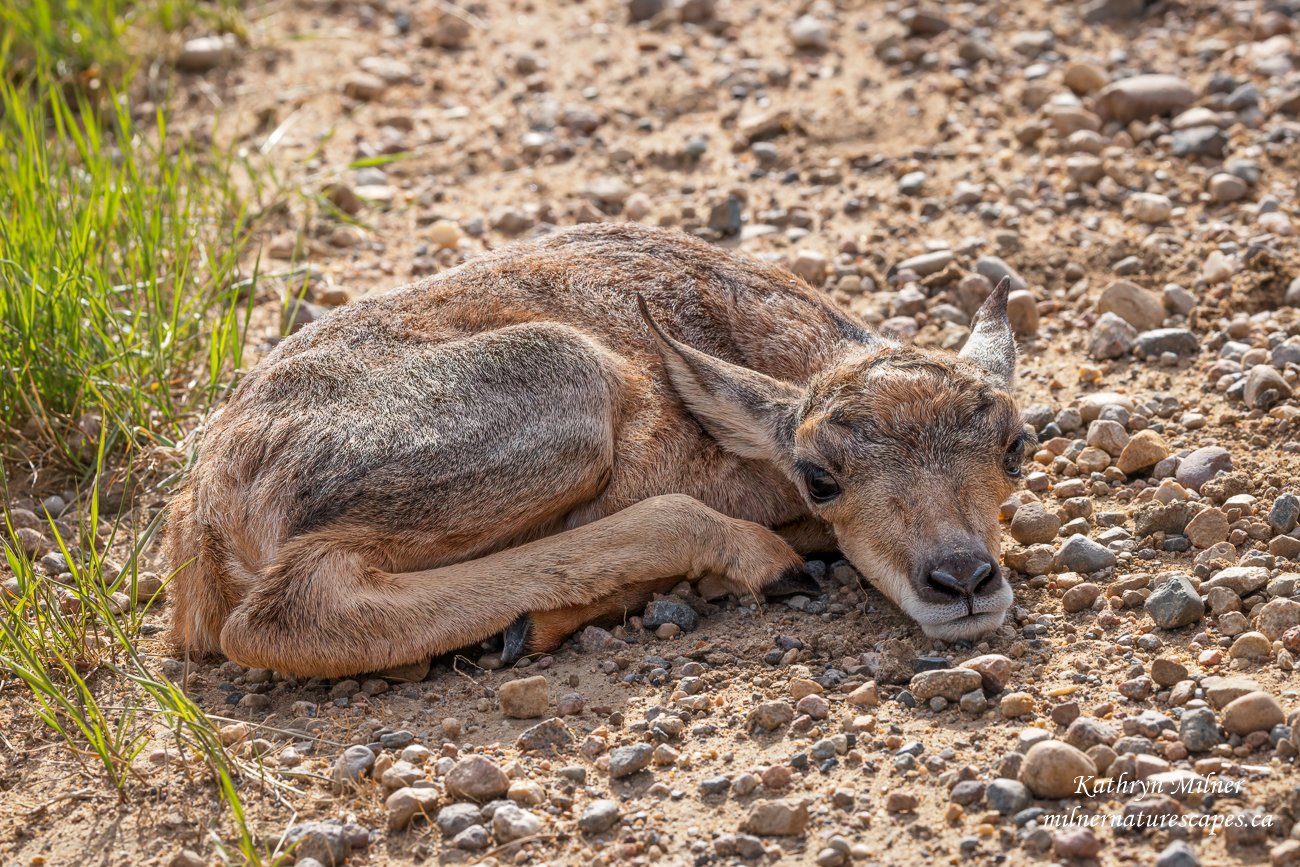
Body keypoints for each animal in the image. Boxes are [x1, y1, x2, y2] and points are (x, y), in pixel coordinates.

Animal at [167, 222, 1029, 675]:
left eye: (1015, 444)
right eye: (820, 475)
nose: (961, 578)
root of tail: (205, 505)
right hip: (570, 384)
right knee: (285, 611)